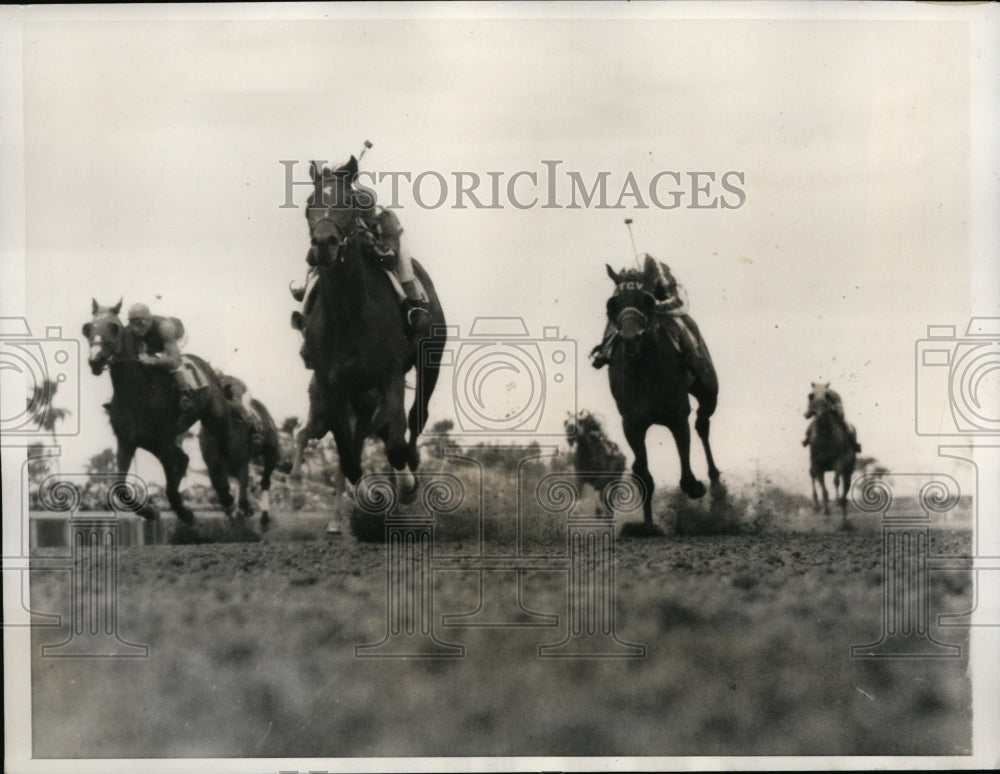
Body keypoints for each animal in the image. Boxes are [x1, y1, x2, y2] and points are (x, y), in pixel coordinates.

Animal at [82, 300, 236, 524]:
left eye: (113, 327)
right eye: (88, 328)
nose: (95, 360)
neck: (137, 391)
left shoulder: (163, 440)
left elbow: (171, 484)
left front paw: (184, 512)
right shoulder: (128, 441)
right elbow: (120, 486)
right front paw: (149, 511)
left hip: (215, 419)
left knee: (219, 454)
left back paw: (229, 499)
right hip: (151, 442)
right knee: (184, 459)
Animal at [290, 159, 446, 520]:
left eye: (349, 202)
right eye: (309, 204)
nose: (324, 243)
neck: (350, 314)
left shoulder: (389, 374)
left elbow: (396, 441)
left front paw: (405, 485)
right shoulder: (331, 386)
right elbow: (349, 456)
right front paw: (364, 495)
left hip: (430, 360)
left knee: (415, 419)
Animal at [600, 258, 720, 532]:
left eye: (646, 300)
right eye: (612, 304)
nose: (630, 338)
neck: (644, 369)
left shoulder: (677, 415)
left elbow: (686, 472)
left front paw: (696, 486)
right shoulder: (631, 424)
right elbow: (644, 476)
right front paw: (647, 525)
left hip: (708, 388)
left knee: (703, 423)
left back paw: (718, 485)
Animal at [800, 382, 856, 520]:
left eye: (827, 395)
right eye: (811, 395)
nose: (819, 413)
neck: (825, 437)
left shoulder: (839, 461)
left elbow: (836, 481)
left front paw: (836, 501)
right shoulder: (818, 464)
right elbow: (823, 487)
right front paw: (825, 509)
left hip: (848, 469)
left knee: (845, 484)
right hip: (814, 464)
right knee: (812, 475)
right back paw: (816, 504)